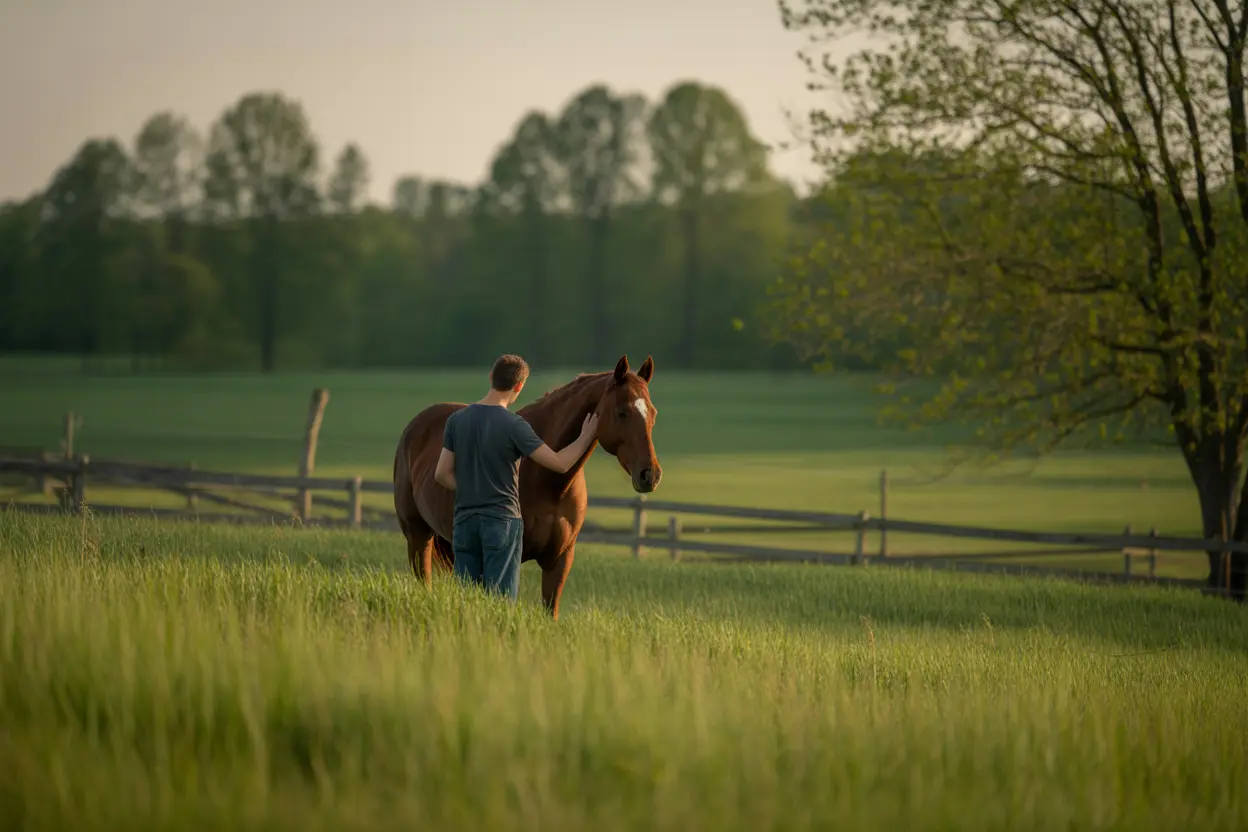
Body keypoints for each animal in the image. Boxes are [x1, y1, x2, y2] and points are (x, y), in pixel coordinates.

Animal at [392, 354, 662, 619]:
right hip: (418, 536)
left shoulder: (559, 560)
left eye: (653, 413)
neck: (552, 483)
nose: (650, 475)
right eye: (622, 412)